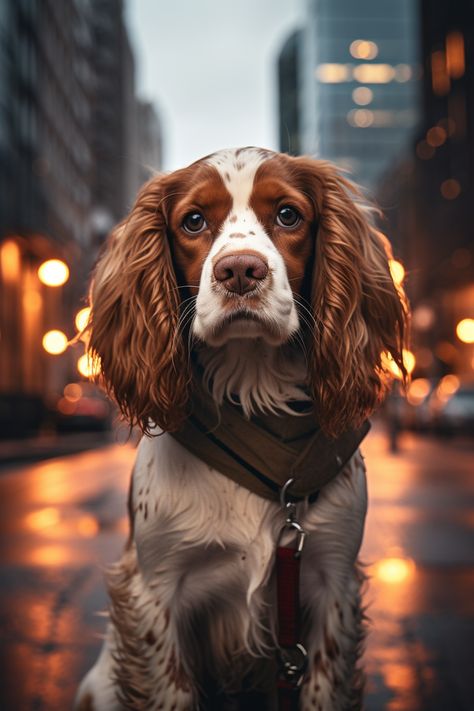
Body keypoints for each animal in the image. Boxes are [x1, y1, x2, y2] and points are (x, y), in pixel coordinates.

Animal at [74, 147, 408, 708]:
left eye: (289, 214)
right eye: (193, 221)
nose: (240, 271)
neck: (255, 396)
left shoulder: (332, 581)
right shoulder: (157, 593)